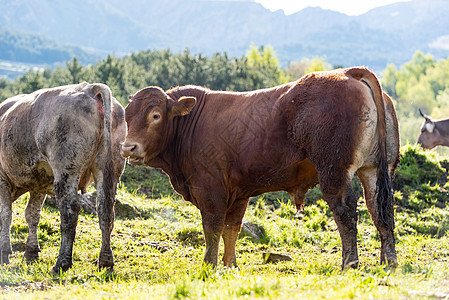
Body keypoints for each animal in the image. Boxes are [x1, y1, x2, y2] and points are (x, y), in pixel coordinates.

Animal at [0, 81, 126, 272]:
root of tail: (90, 88)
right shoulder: (39, 182)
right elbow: (32, 214)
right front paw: (31, 251)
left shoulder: (3, 178)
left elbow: (6, 214)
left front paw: (5, 252)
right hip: (110, 170)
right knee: (105, 211)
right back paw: (105, 261)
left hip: (67, 170)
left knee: (69, 211)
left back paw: (62, 262)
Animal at [121, 68, 398, 270]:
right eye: (126, 115)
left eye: (155, 115)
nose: (128, 148)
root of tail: (348, 73)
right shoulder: (238, 192)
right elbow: (232, 229)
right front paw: (230, 265)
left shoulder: (209, 188)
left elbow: (212, 227)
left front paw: (209, 265)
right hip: (375, 170)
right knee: (380, 210)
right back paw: (388, 262)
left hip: (334, 171)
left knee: (345, 212)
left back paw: (349, 263)